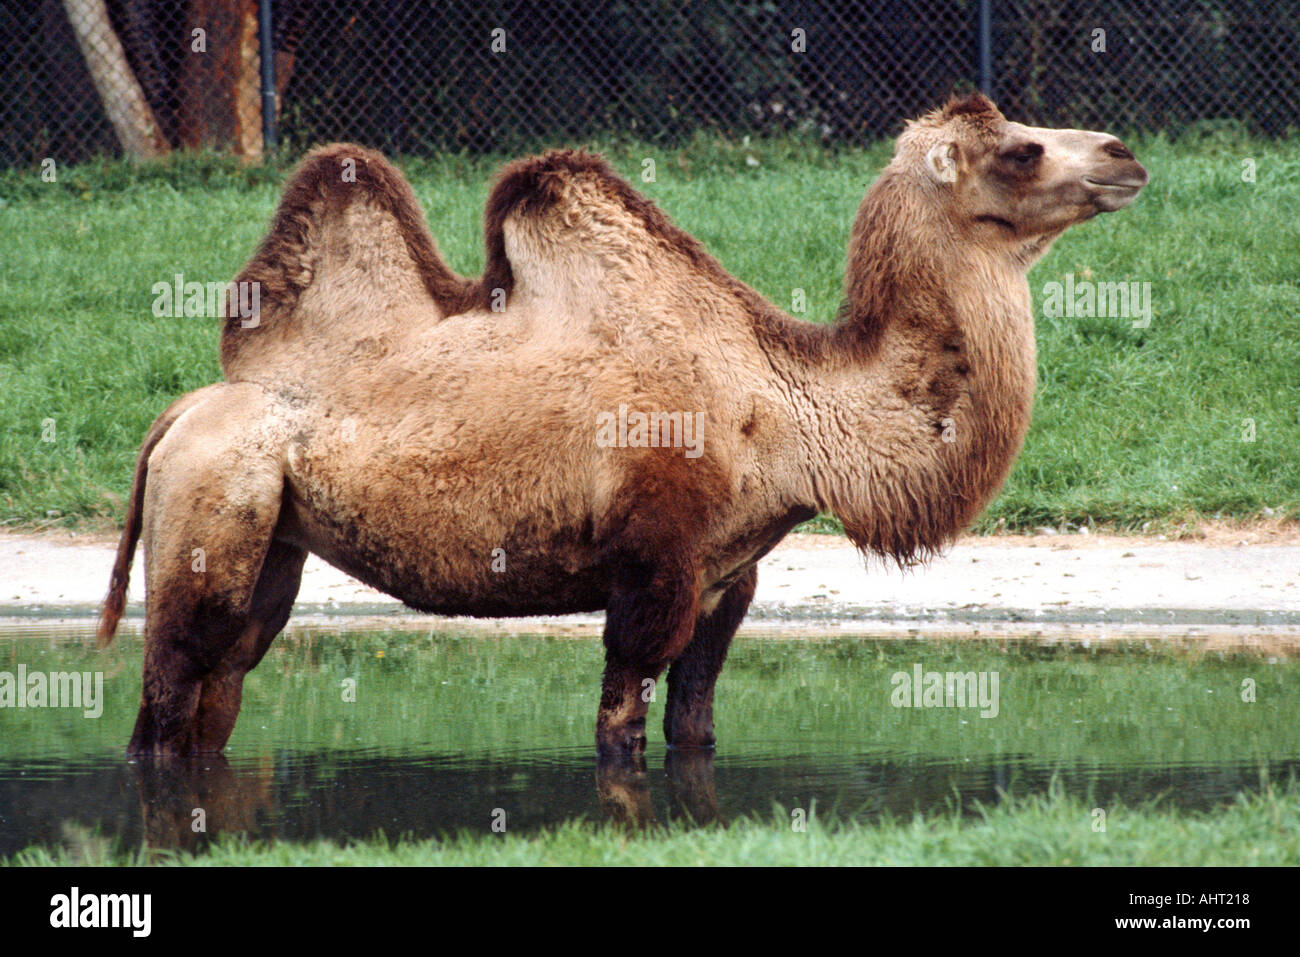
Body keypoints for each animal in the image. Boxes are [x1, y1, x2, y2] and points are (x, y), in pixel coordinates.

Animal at [96, 93, 1144, 759]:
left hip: (267, 536)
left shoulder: (728, 578)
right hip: (210, 504)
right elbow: (619, 731)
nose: (1125, 155)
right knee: (166, 696)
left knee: (218, 684)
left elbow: (696, 726)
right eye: (1020, 149)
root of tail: (182, 412)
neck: (792, 416)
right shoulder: (653, 568)